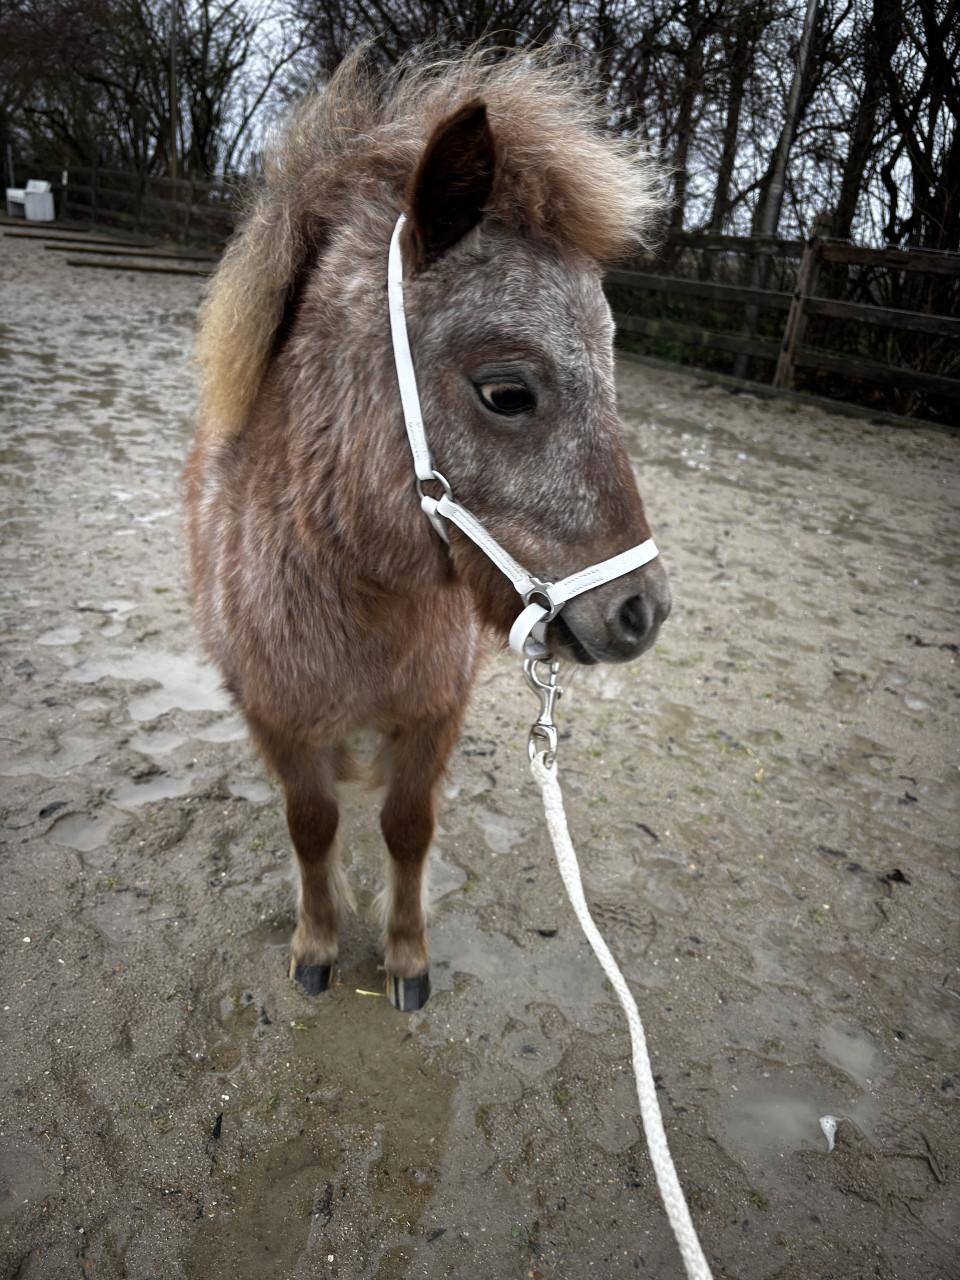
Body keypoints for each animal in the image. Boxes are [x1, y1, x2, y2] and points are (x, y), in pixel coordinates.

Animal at [184, 47, 671, 1012]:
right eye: (507, 391)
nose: (643, 610)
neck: (354, 594)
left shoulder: (431, 715)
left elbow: (406, 828)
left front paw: (405, 956)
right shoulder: (280, 717)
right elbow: (312, 824)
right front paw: (317, 941)